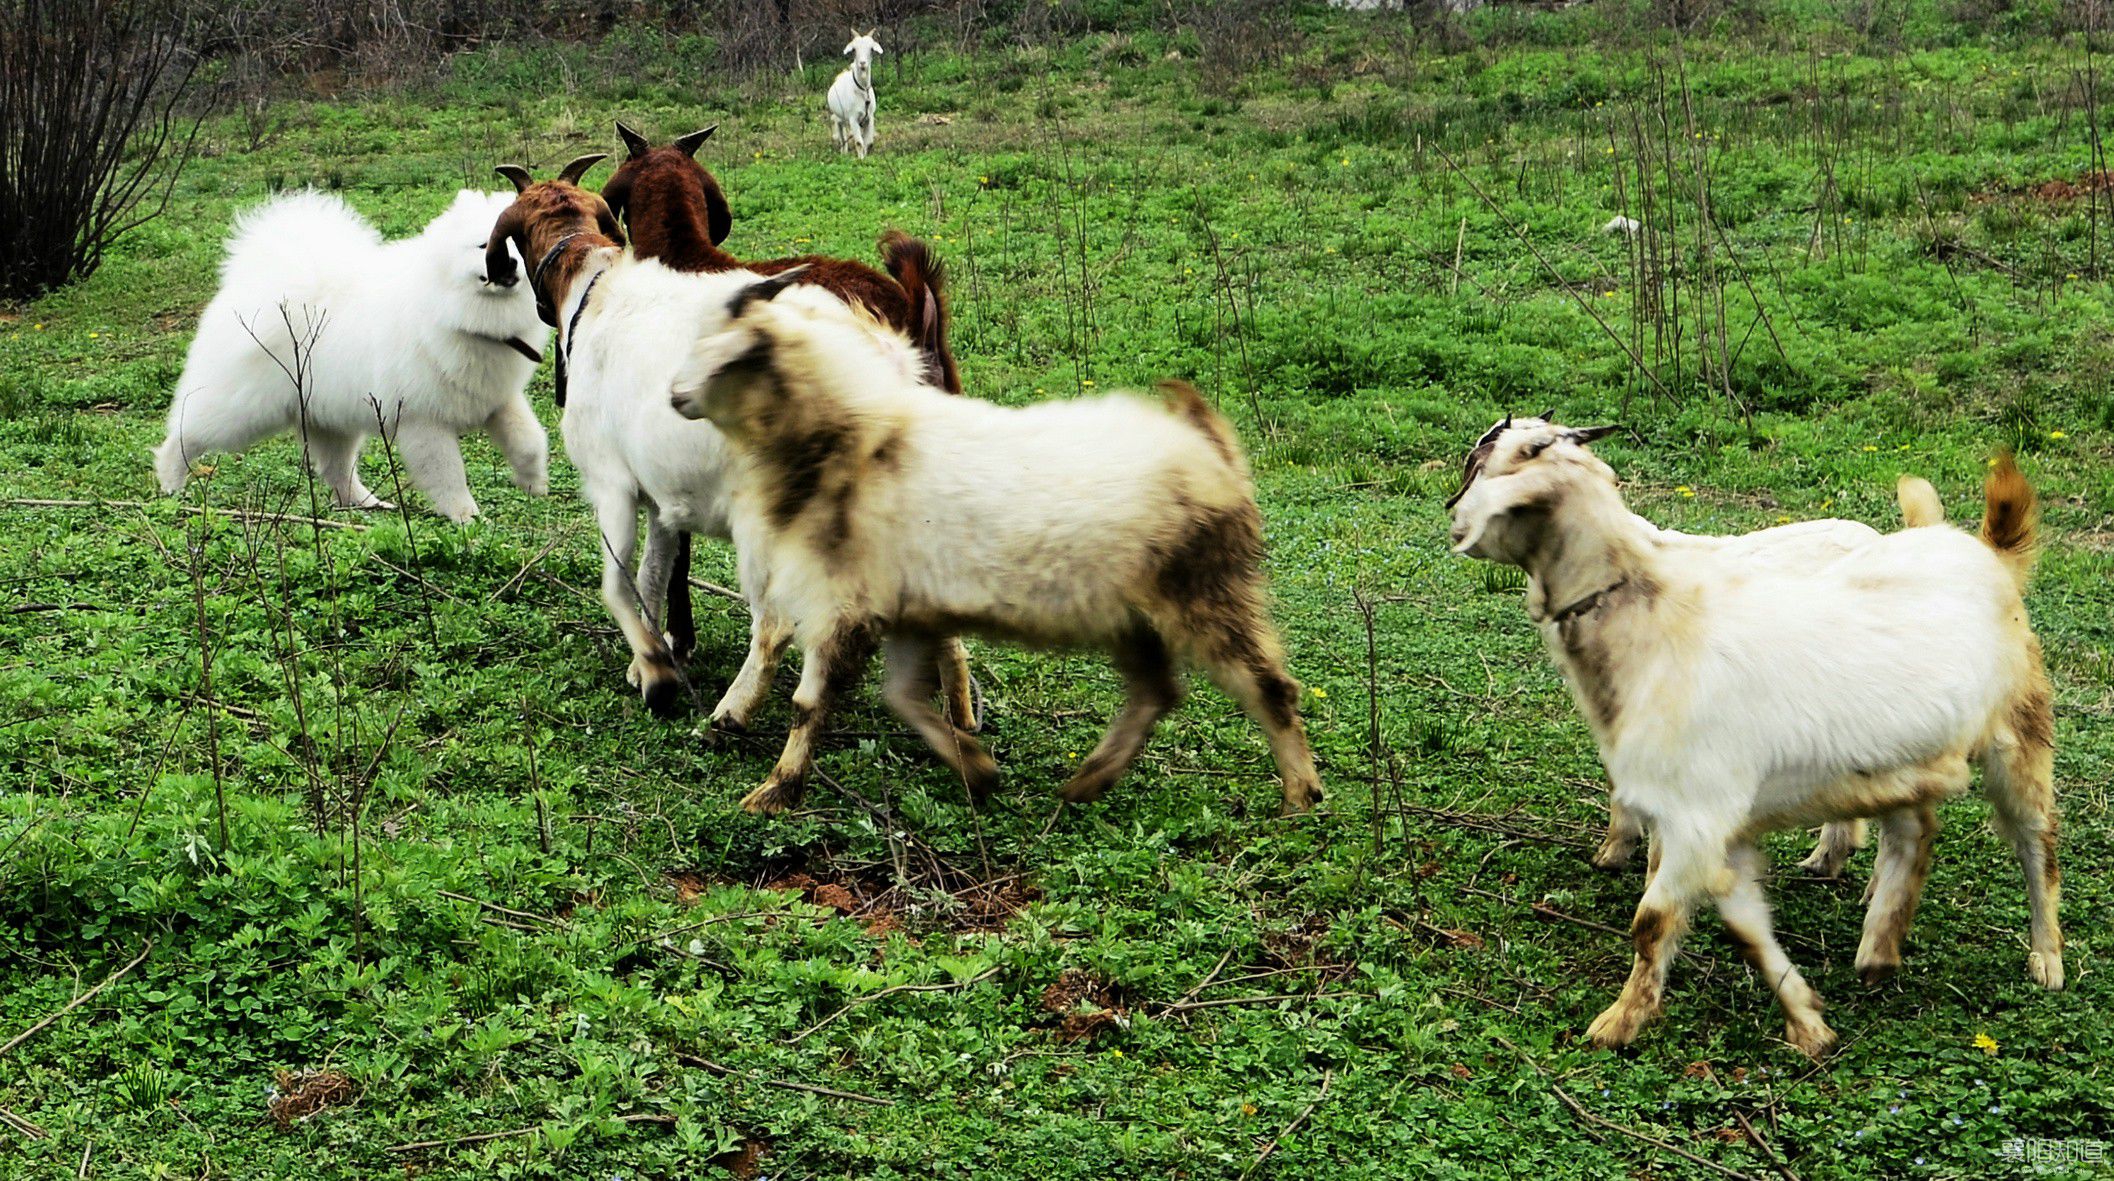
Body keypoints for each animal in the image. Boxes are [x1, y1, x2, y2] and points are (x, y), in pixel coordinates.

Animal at [155, 190, 553, 521]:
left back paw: (366, 503)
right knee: (184, 435)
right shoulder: (424, 420)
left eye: (517, 245)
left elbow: (530, 443)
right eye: (484, 245)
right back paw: (171, 484)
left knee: (337, 470)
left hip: (327, 417)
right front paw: (466, 517)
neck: (458, 312)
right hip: (239, 413)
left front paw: (534, 485)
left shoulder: (497, 399)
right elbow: (448, 475)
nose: (511, 266)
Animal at [824, 31, 883, 159]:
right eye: (854, 49)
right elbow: (859, 143)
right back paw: (843, 153)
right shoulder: (853, 118)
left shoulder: (869, 118)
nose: (862, 63)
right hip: (838, 117)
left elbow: (868, 142)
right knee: (842, 137)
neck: (862, 91)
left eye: (871, 49)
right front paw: (860, 159)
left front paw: (866, 157)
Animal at [1445, 420, 2054, 1056]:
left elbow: (1652, 920)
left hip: (2018, 733)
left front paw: (1619, 1019)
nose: (1454, 519)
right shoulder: (1709, 819)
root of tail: (1979, 550)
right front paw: (1808, 1021)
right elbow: (1744, 928)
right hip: (1904, 757)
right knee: (1914, 831)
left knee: (2036, 841)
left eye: (1494, 463)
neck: (1653, 607)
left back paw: (2045, 960)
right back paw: (1876, 944)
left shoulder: (1695, 811)